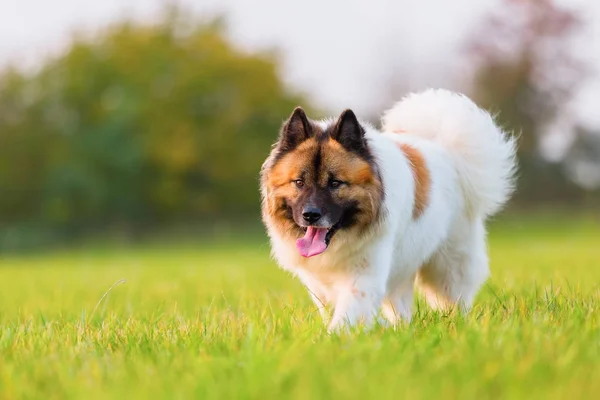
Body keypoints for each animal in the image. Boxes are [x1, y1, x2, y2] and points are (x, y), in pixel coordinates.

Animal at [258, 90, 516, 332]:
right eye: (299, 183)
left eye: (335, 183)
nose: (310, 214)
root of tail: (448, 153)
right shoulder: (320, 283)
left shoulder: (364, 274)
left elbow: (348, 311)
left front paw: (335, 337)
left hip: (448, 267)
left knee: (455, 299)